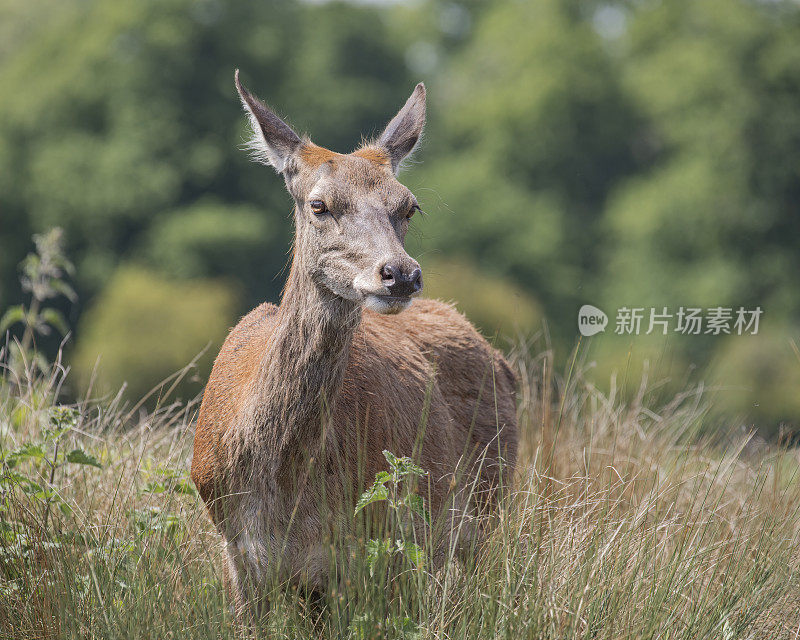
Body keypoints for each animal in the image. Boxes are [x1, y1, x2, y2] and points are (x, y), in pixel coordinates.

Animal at [192, 71, 520, 620]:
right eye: (319, 205)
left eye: (409, 206)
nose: (400, 274)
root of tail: (500, 358)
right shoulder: (235, 554)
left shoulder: (362, 553)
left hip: (483, 509)